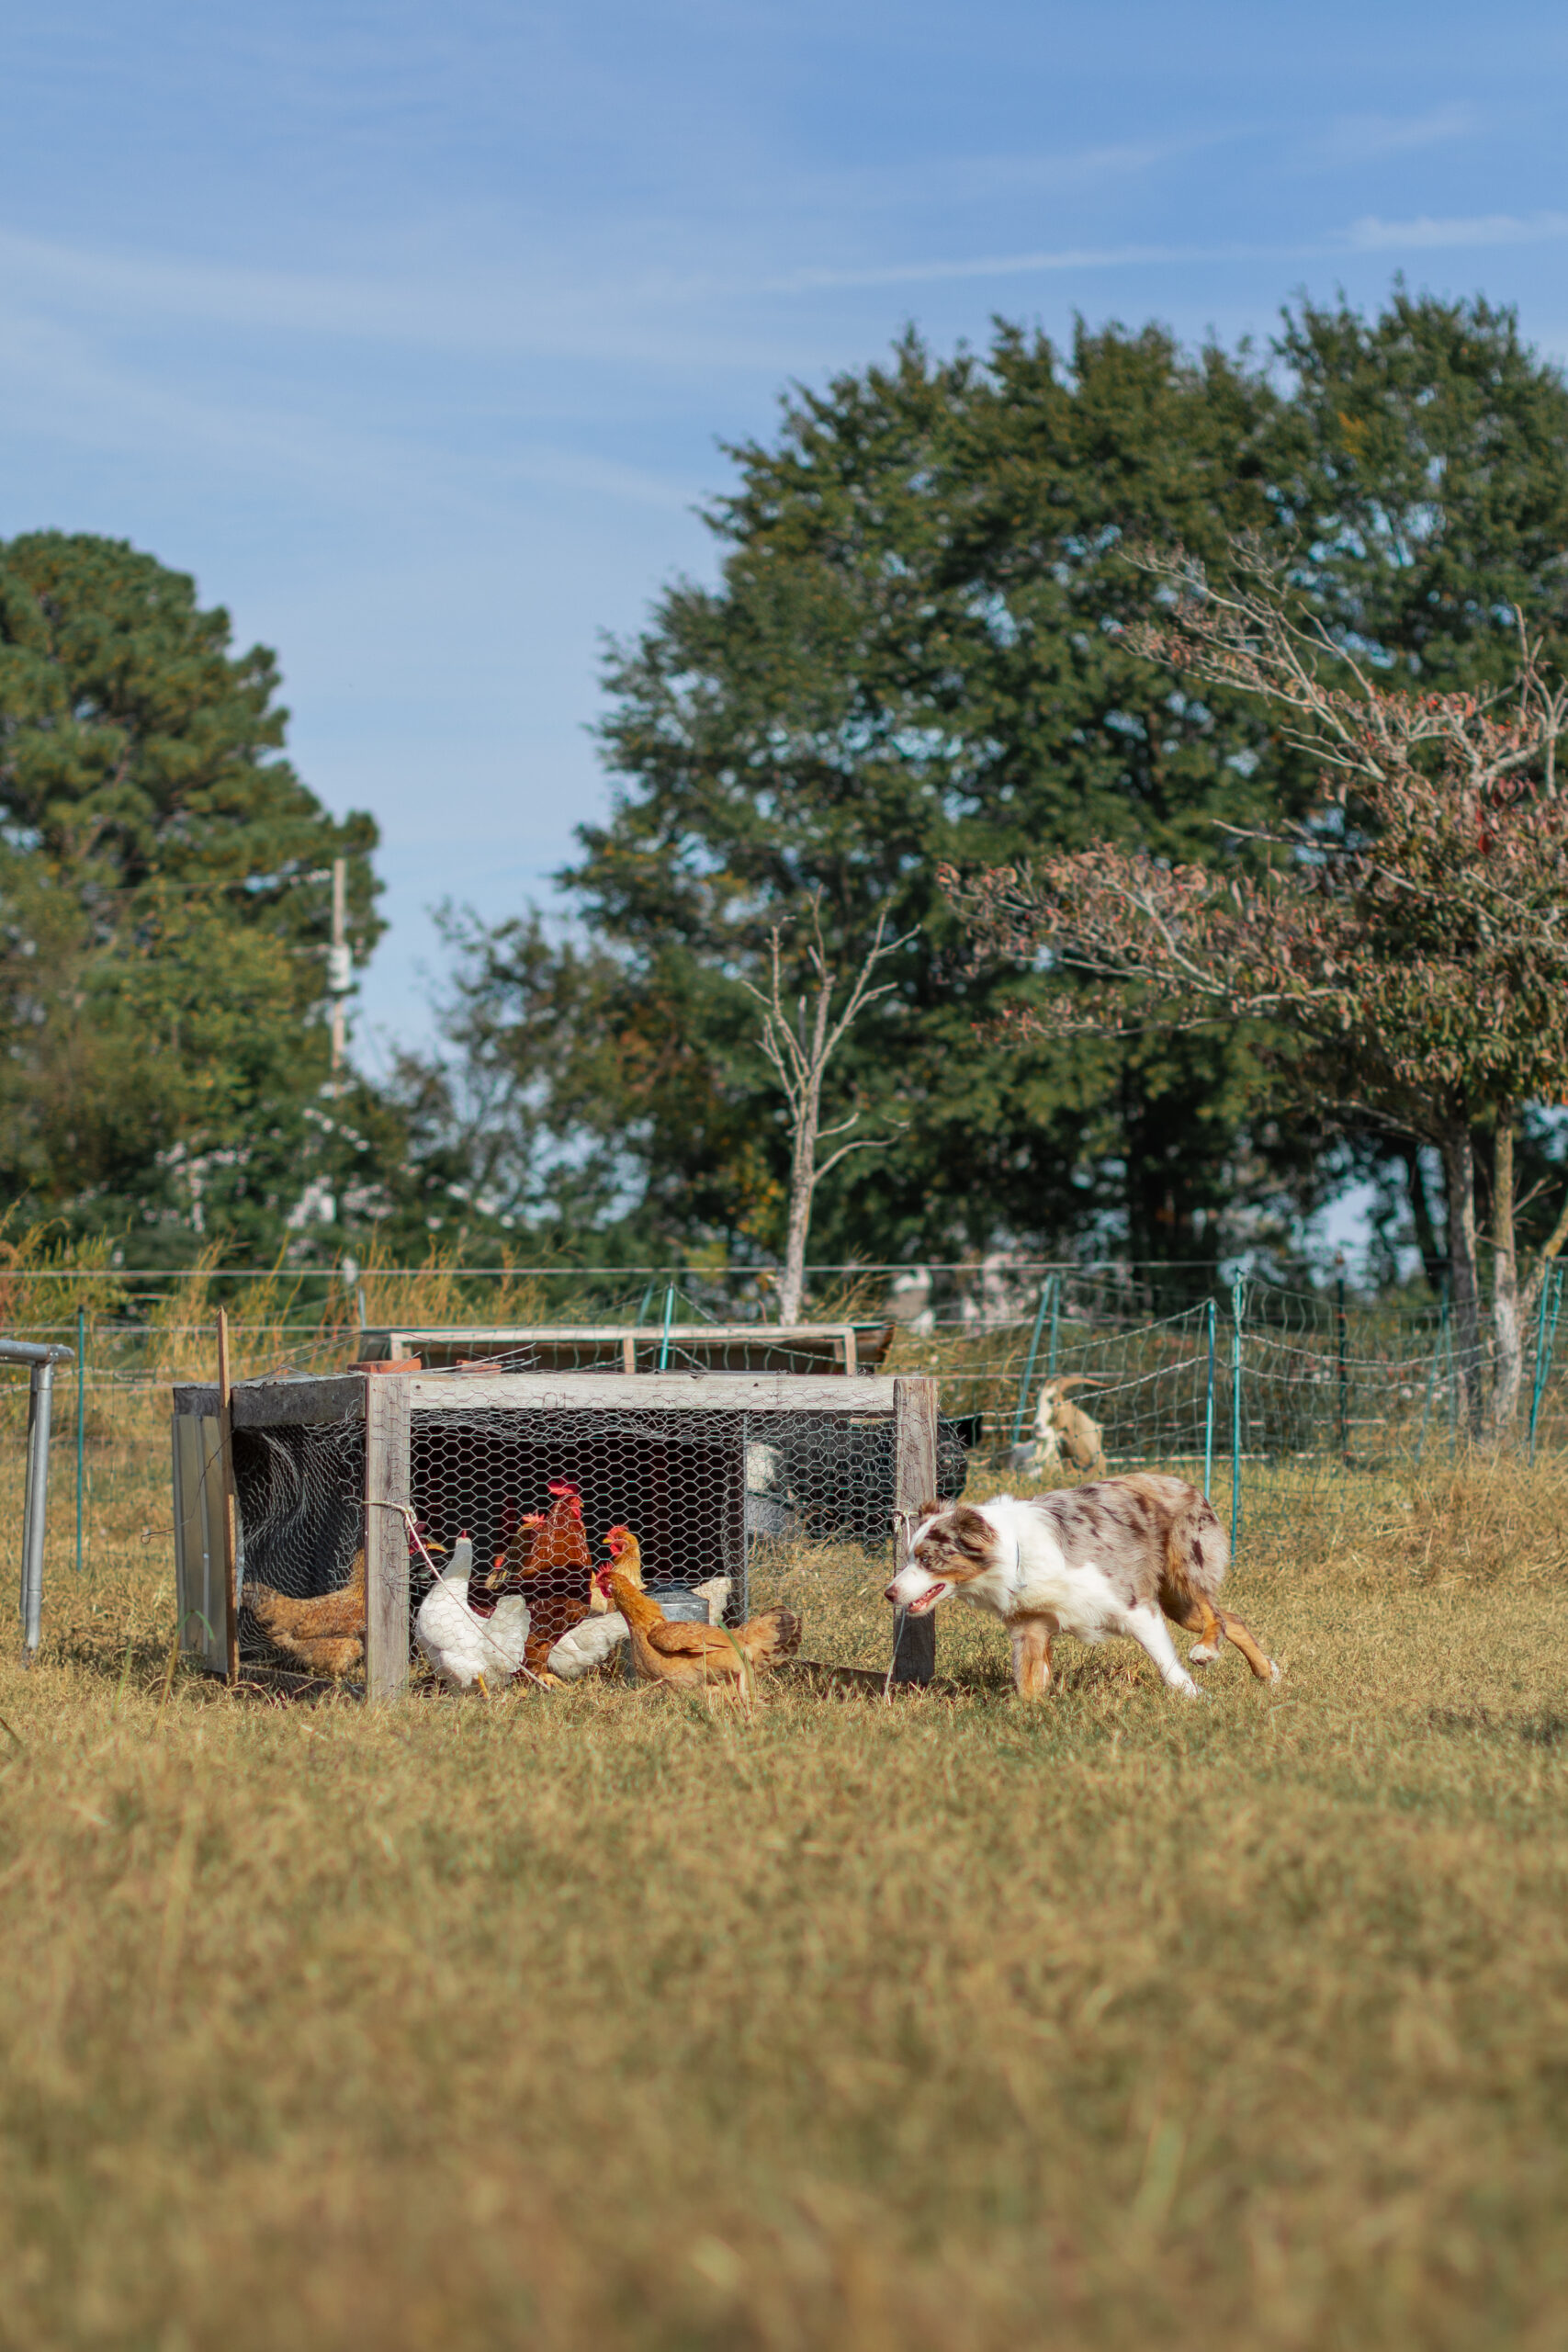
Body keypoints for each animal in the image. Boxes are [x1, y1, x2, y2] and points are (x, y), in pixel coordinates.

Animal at [884, 1476, 1279, 1702]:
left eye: (927, 1559)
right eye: (908, 1556)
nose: (889, 1593)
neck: (1014, 1555)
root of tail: (1185, 1483)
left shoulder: (1134, 1606)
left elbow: (1166, 1664)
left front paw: (1194, 1698)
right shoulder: (1030, 1625)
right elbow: (1028, 1682)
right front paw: (1029, 1716)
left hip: (1183, 1571)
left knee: (1215, 1615)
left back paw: (1206, 1651)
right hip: (1177, 1602)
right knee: (1233, 1618)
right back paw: (1267, 1672)